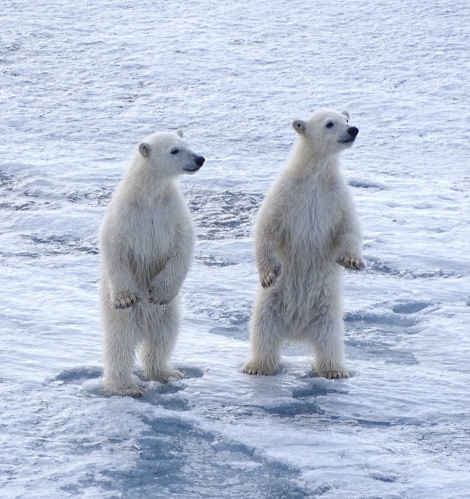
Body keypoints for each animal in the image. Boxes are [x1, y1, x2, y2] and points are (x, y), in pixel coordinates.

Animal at [99, 131, 204, 396]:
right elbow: (114, 247)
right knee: (121, 343)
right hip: (121, 316)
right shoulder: (125, 214)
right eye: (175, 150)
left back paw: (167, 373)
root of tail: (144, 324)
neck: (149, 194)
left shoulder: (171, 210)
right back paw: (126, 387)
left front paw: (158, 292)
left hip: (170, 311)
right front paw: (125, 298)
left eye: (188, 144)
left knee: (164, 336)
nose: (199, 159)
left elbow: (183, 245)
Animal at [244, 109, 366, 380]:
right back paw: (257, 366)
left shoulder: (336, 195)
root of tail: (297, 330)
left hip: (327, 310)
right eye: (330, 123)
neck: (315, 175)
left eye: (347, 120)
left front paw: (352, 260)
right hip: (270, 305)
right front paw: (269, 274)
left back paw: (334, 370)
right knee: (262, 332)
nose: (353, 130)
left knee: (330, 339)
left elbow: (349, 227)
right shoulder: (287, 192)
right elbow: (267, 227)